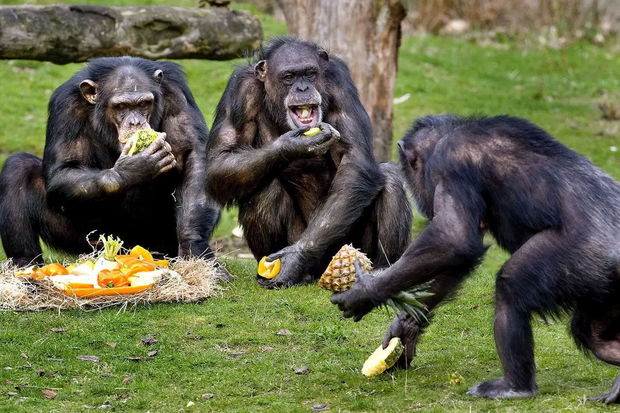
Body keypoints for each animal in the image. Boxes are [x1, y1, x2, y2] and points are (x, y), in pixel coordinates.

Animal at [0, 58, 223, 270]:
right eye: (121, 106)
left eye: (144, 104)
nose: (135, 123)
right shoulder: (66, 105)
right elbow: (64, 169)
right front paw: (132, 169)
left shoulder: (175, 92)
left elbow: (192, 154)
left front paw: (195, 249)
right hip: (89, 243)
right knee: (18, 167)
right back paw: (25, 264)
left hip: (156, 244)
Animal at [206, 37, 414, 288]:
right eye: (289, 77)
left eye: (310, 73)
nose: (302, 88)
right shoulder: (239, 91)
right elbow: (220, 162)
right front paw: (290, 146)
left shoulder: (339, 82)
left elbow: (355, 158)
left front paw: (296, 257)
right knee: (264, 187)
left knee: (390, 177)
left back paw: (382, 269)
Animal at [332, 115, 620, 402]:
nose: (420, 200)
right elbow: (454, 259)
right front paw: (404, 330)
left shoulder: (450, 163)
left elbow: (453, 237)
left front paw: (364, 292)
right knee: (592, 335)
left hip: (575, 256)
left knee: (511, 287)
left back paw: (515, 386)